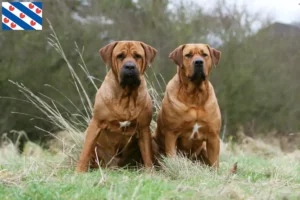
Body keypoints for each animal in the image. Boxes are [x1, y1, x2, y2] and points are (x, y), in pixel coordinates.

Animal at [75, 40, 157, 172]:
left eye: (137, 56)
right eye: (120, 56)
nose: (129, 66)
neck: (126, 96)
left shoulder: (144, 128)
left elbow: (147, 155)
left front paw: (150, 172)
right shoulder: (96, 123)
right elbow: (85, 151)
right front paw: (79, 171)